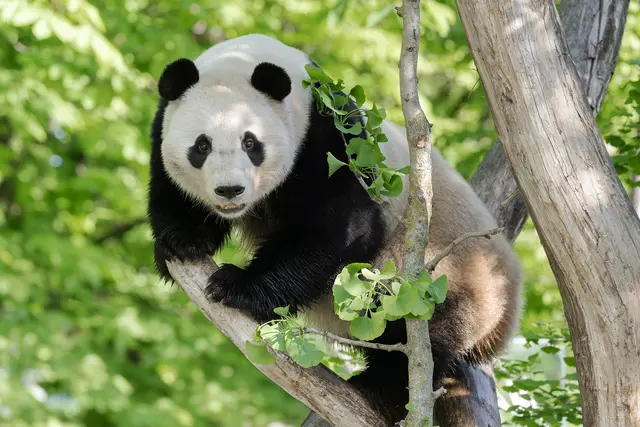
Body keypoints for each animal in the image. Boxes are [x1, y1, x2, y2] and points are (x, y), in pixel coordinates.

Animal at [147, 33, 523, 425]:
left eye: (250, 143)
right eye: (201, 145)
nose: (229, 190)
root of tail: (505, 319)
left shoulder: (333, 138)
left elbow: (339, 227)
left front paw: (235, 285)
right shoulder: (163, 125)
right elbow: (172, 192)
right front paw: (181, 243)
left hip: (443, 273)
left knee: (418, 331)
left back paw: (381, 390)